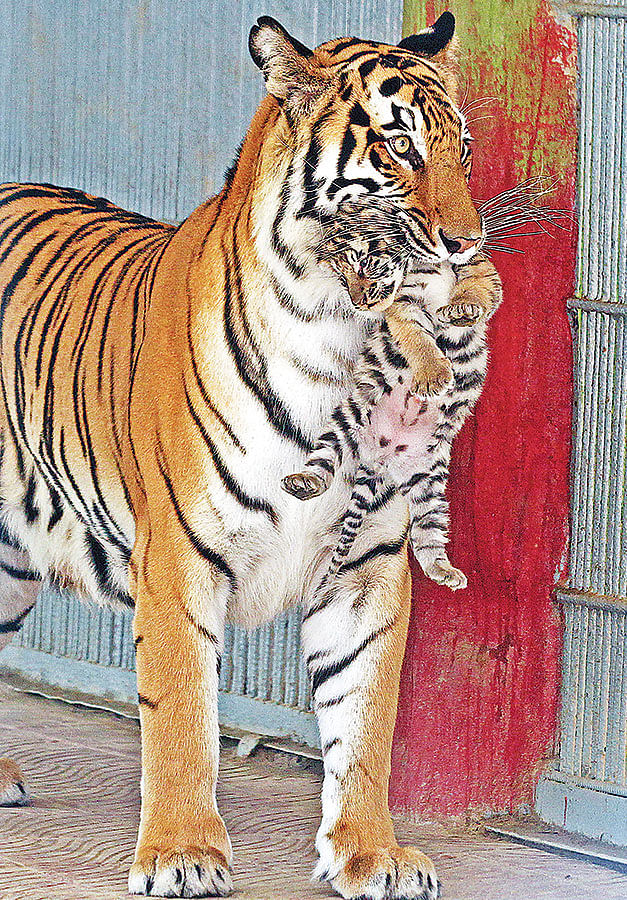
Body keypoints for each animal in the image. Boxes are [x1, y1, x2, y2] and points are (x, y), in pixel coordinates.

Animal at [0, 14, 484, 900]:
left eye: (460, 148)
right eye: (399, 146)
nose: (466, 246)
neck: (338, 339)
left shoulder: (367, 564)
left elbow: (364, 720)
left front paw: (370, 854)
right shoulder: (179, 557)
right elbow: (183, 715)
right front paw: (182, 853)